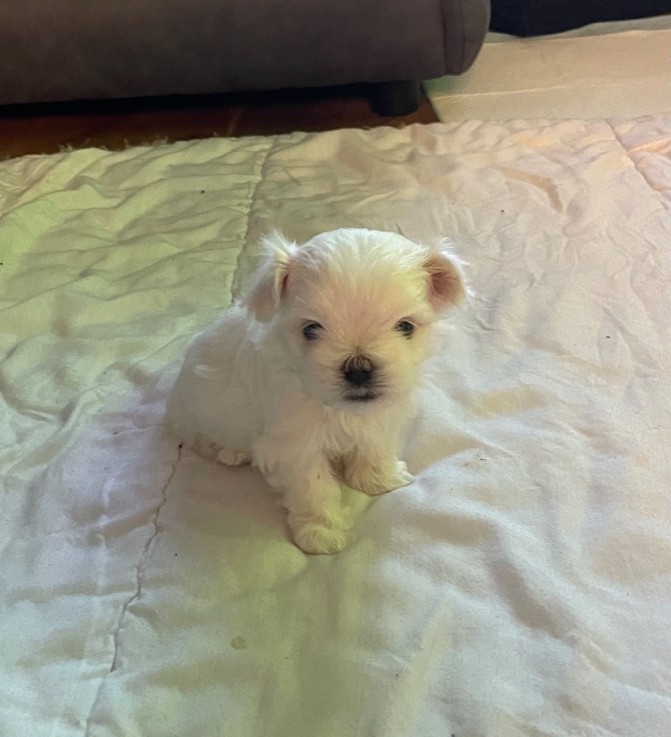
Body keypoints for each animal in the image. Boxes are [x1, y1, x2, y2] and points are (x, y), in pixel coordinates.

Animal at [165, 229, 464, 552]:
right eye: (311, 329)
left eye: (405, 327)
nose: (358, 368)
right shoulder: (295, 444)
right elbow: (313, 486)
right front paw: (321, 532)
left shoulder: (379, 416)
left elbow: (374, 445)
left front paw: (379, 478)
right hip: (192, 414)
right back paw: (231, 451)